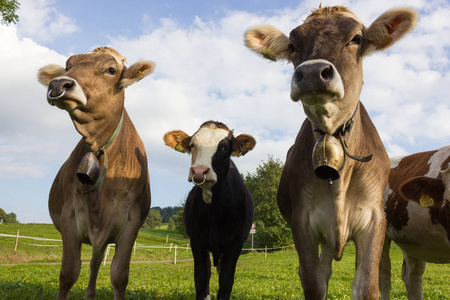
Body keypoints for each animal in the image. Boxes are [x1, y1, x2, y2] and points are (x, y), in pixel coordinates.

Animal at [37, 47, 153, 300]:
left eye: (110, 70)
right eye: (68, 66)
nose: (58, 84)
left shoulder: (132, 221)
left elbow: (119, 275)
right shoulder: (69, 217)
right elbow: (68, 273)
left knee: (96, 261)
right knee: (93, 262)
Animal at [163, 121, 255, 300]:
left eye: (224, 147)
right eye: (192, 145)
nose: (199, 171)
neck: (215, 211)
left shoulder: (236, 241)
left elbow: (226, 279)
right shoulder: (196, 240)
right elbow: (201, 277)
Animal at [244, 5, 416, 298]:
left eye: (356, 38)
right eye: (293, 45)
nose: (313, 72)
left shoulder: (374, 218)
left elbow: (367, 286)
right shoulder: (302, 221)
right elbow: (314, 283)